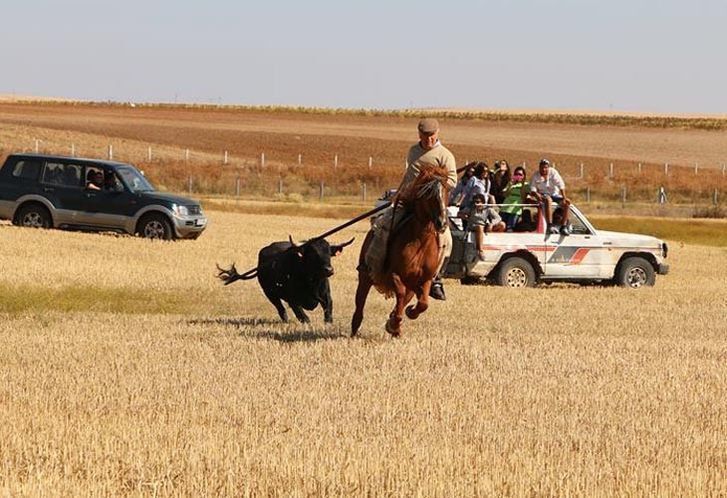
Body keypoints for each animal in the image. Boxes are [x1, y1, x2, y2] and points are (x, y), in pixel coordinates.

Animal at [215, 236, 354, 322]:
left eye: (329, 253)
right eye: (313, 253)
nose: (329, 270)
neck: (312, 281)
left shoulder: (326, 297)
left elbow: (328, 314)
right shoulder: (293, 300)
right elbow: (303, 317)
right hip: (270, 294)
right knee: (280, 309)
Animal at [352, 165, 450, 336]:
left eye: (446, 190)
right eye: (428, 193)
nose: (442, 223)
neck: (420, 242)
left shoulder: (424, 279)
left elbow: (423, 303)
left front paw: (406, 315)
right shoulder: (394, 275)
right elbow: (401, 294)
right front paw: (394, 323)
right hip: (365, 277)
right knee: (360, 305)